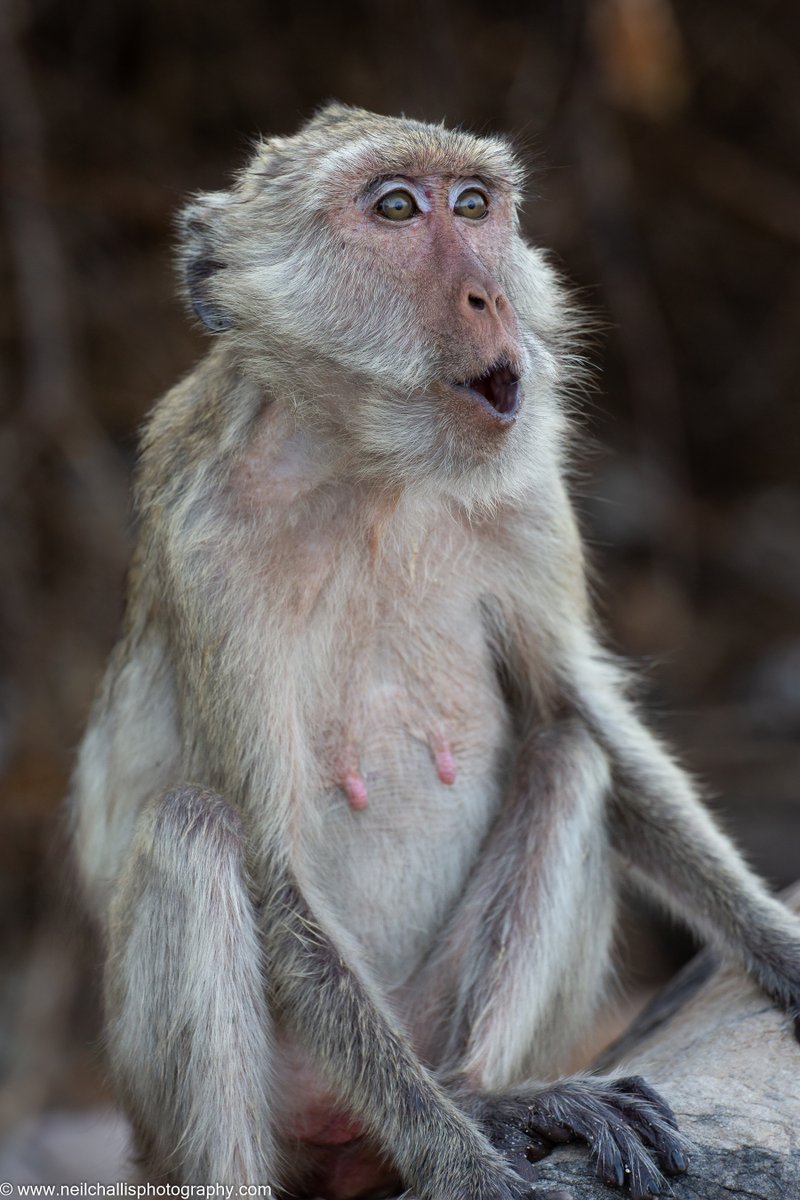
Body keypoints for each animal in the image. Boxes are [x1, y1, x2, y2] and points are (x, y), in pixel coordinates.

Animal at [69, 103, 800, 1200]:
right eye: (396, 210)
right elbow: (274, 866)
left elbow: (571, 715)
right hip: (220, 1100)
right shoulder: (206, 540)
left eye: (473, 204)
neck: (371, 468)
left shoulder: (525, 487)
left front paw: (777, 944)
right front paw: (468, 1171)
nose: (489, 293)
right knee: (195, 832)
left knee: (566, 759)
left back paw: (493, 1101)